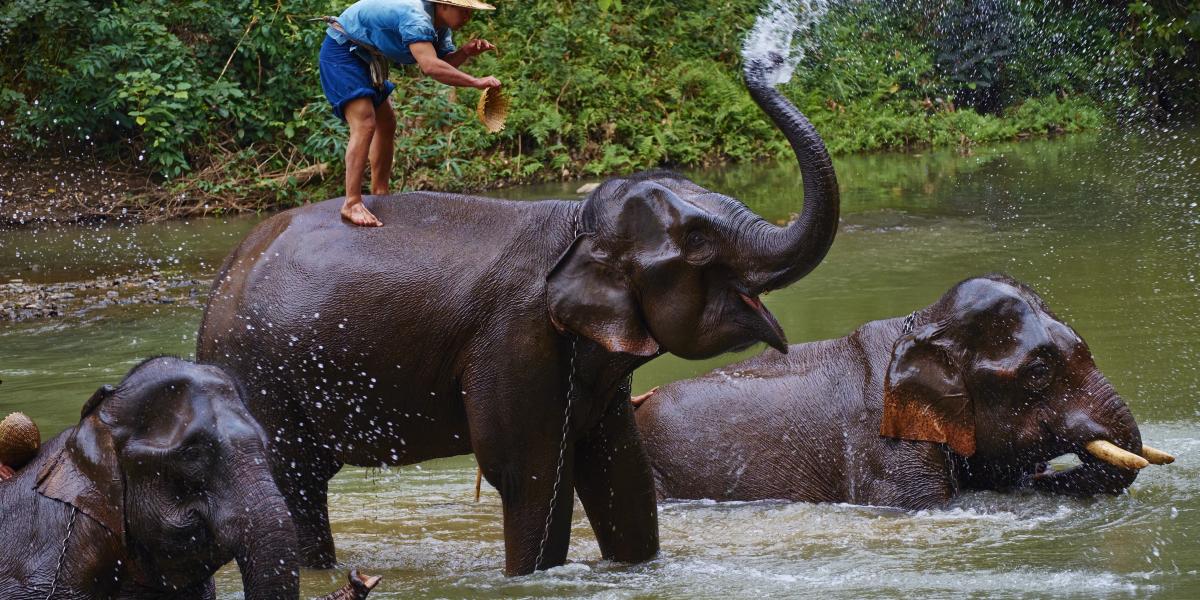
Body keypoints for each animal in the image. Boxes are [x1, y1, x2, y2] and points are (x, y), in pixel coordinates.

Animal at [192, 55, 840, 571]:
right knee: (295, 485)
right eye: (700, 240)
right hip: (258, 375)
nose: (764, 59)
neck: (575, 223)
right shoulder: (515, 335)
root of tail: (224, 276)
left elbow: (619, 472)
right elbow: (529, 475)